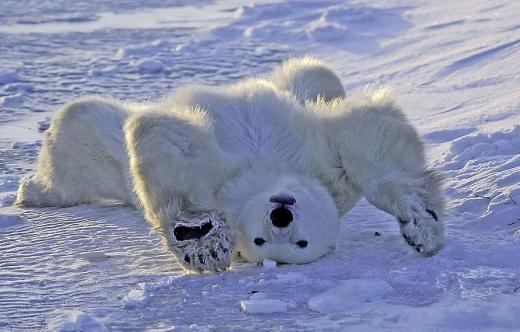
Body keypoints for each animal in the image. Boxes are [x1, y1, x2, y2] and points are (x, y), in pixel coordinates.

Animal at [17, 57, 446, 272]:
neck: (266, 174)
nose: (280, 216)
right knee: (81, 130)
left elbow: (369, 140)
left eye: (301, 244)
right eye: (258, 241)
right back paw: (31, 191)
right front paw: (201, 238)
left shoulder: (328, 174)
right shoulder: (232, 176)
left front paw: (420, 223)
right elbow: (171, 145)